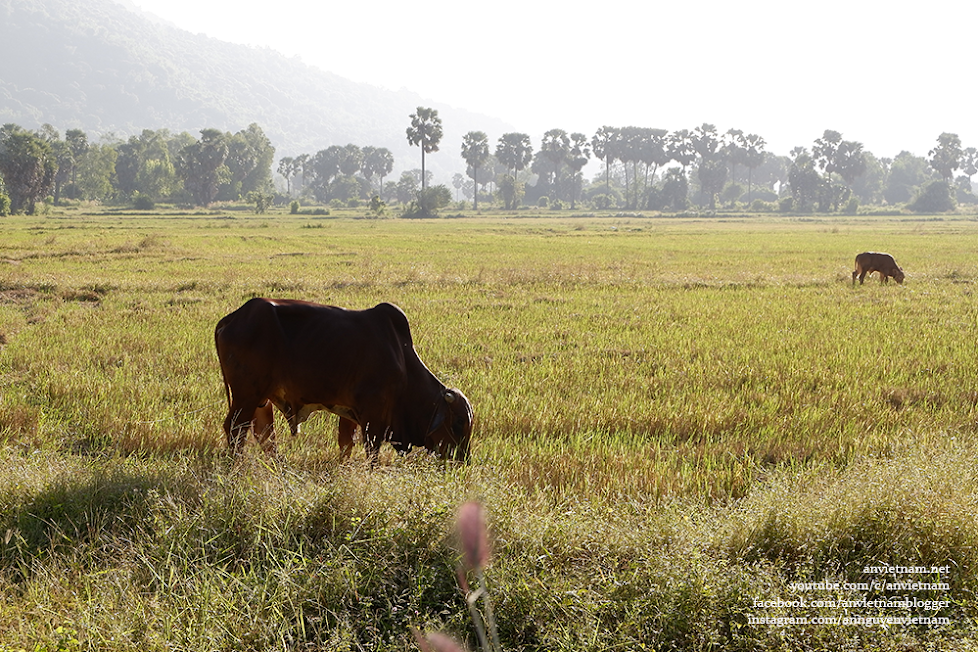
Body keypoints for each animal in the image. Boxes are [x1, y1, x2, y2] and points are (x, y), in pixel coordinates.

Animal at [214, 298, 472, 460]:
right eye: (458, 422)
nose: (462, 461)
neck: (402, 359)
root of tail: (234, 317)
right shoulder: (372, 417)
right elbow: (372, 452)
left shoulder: (350, 413)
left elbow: (345, 445)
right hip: (246, 395)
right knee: (236, 429)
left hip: (261, 398)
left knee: (263, 433)